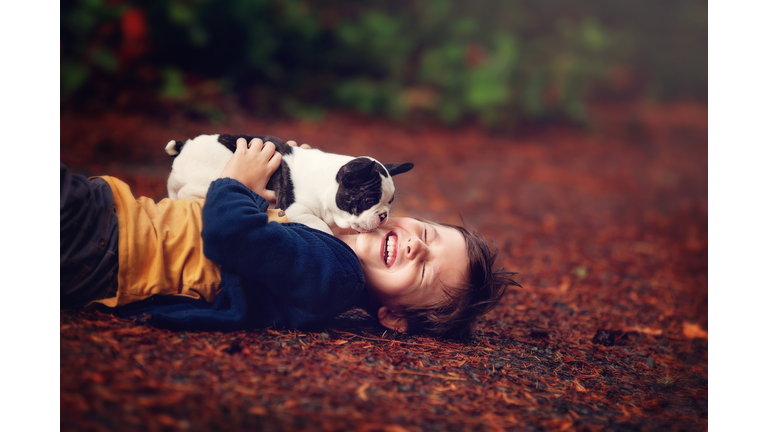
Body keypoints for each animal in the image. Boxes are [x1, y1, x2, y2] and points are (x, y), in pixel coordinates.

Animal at [164, 133, 414, 235]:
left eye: (390, 203)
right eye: (369, 200)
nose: (383, 216)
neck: (325, 182)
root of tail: (186, 144)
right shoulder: (296, 210)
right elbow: (321, 227)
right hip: (210, 172)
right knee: (187, 190)